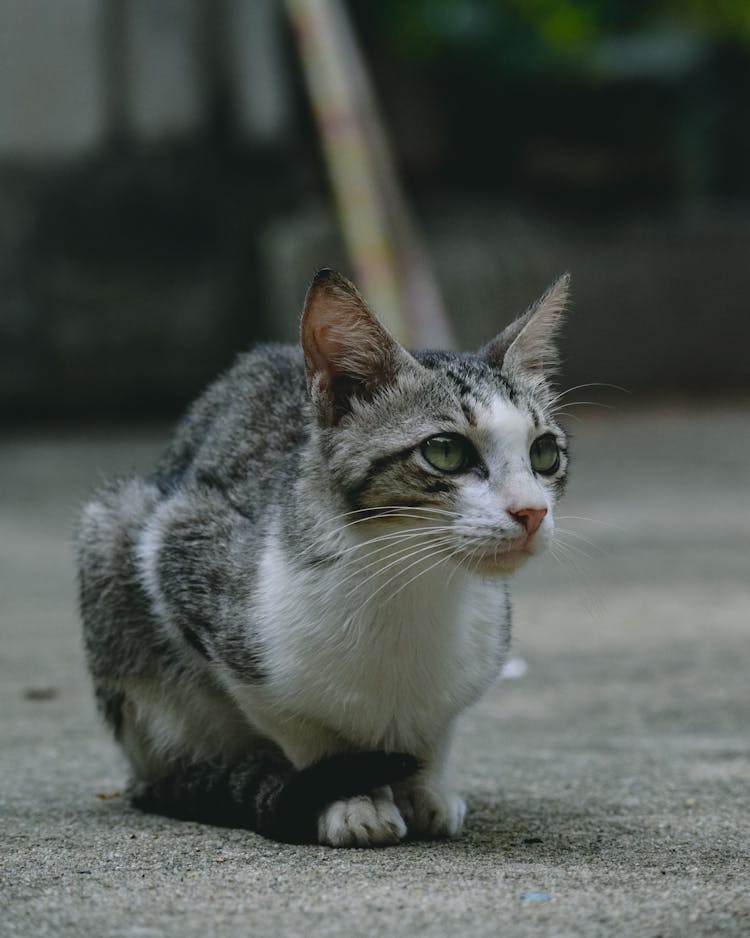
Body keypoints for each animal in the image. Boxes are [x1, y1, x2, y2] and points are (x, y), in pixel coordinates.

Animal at [76, 266, 568, 844]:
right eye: (446, 451)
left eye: (544, 453)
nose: (531, 510)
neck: (407, 588)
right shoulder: (181, 549)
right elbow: (306, 730)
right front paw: (355, 798)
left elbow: (436, 729)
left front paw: (425, 788)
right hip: (113, 528)